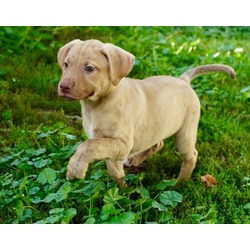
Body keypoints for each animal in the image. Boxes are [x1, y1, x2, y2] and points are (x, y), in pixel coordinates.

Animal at [57, 39, 236, 186]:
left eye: (89, 68)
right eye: (66, 64)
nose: (63, 87)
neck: (95, 105)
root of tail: (183, 80)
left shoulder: (122, 143)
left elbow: (87, 146)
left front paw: (75, 169)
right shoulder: (111, 146)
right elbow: (114, 170)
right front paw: (124, 191)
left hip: (186, 132)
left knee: (191, 155)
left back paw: (180, 182)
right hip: (156, 125)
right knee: (158, 142)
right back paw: (137, 159)